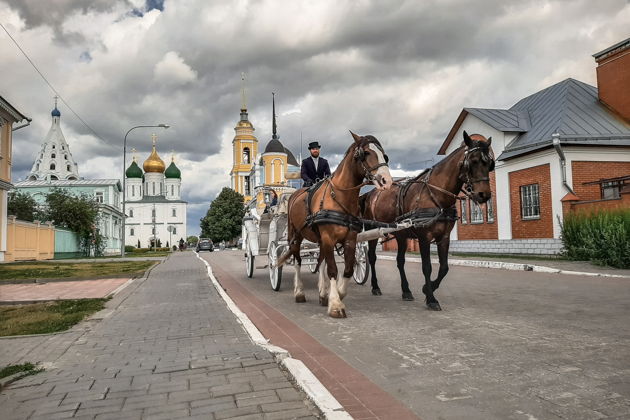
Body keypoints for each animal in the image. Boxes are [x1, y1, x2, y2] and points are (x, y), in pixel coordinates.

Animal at [278, 131, 392, 318]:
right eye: (366, 153)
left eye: (384, 154)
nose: (387, 181)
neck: (339, 197)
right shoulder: (328, 238)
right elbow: (332, 270)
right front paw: (335, 305)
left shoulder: (350, 239)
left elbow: (347, 269)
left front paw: (336, 293)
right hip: (296, 236)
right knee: (298, 261)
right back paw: (299, 292)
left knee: (321, 259)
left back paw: (323, 293)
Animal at [362, 133, 496, 310]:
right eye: (473, 161)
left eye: (489, 163)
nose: (484, 195)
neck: (435, 195)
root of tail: (370, 194)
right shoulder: (424, 238)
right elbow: (427, 267)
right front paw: (432, 299)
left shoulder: (444, 237)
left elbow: (444, 268)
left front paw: (427, 288)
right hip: (373, 231)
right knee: (372, 257)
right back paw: (376, 286)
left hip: (401, 235)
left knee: (400, 261)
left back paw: (406, 291)